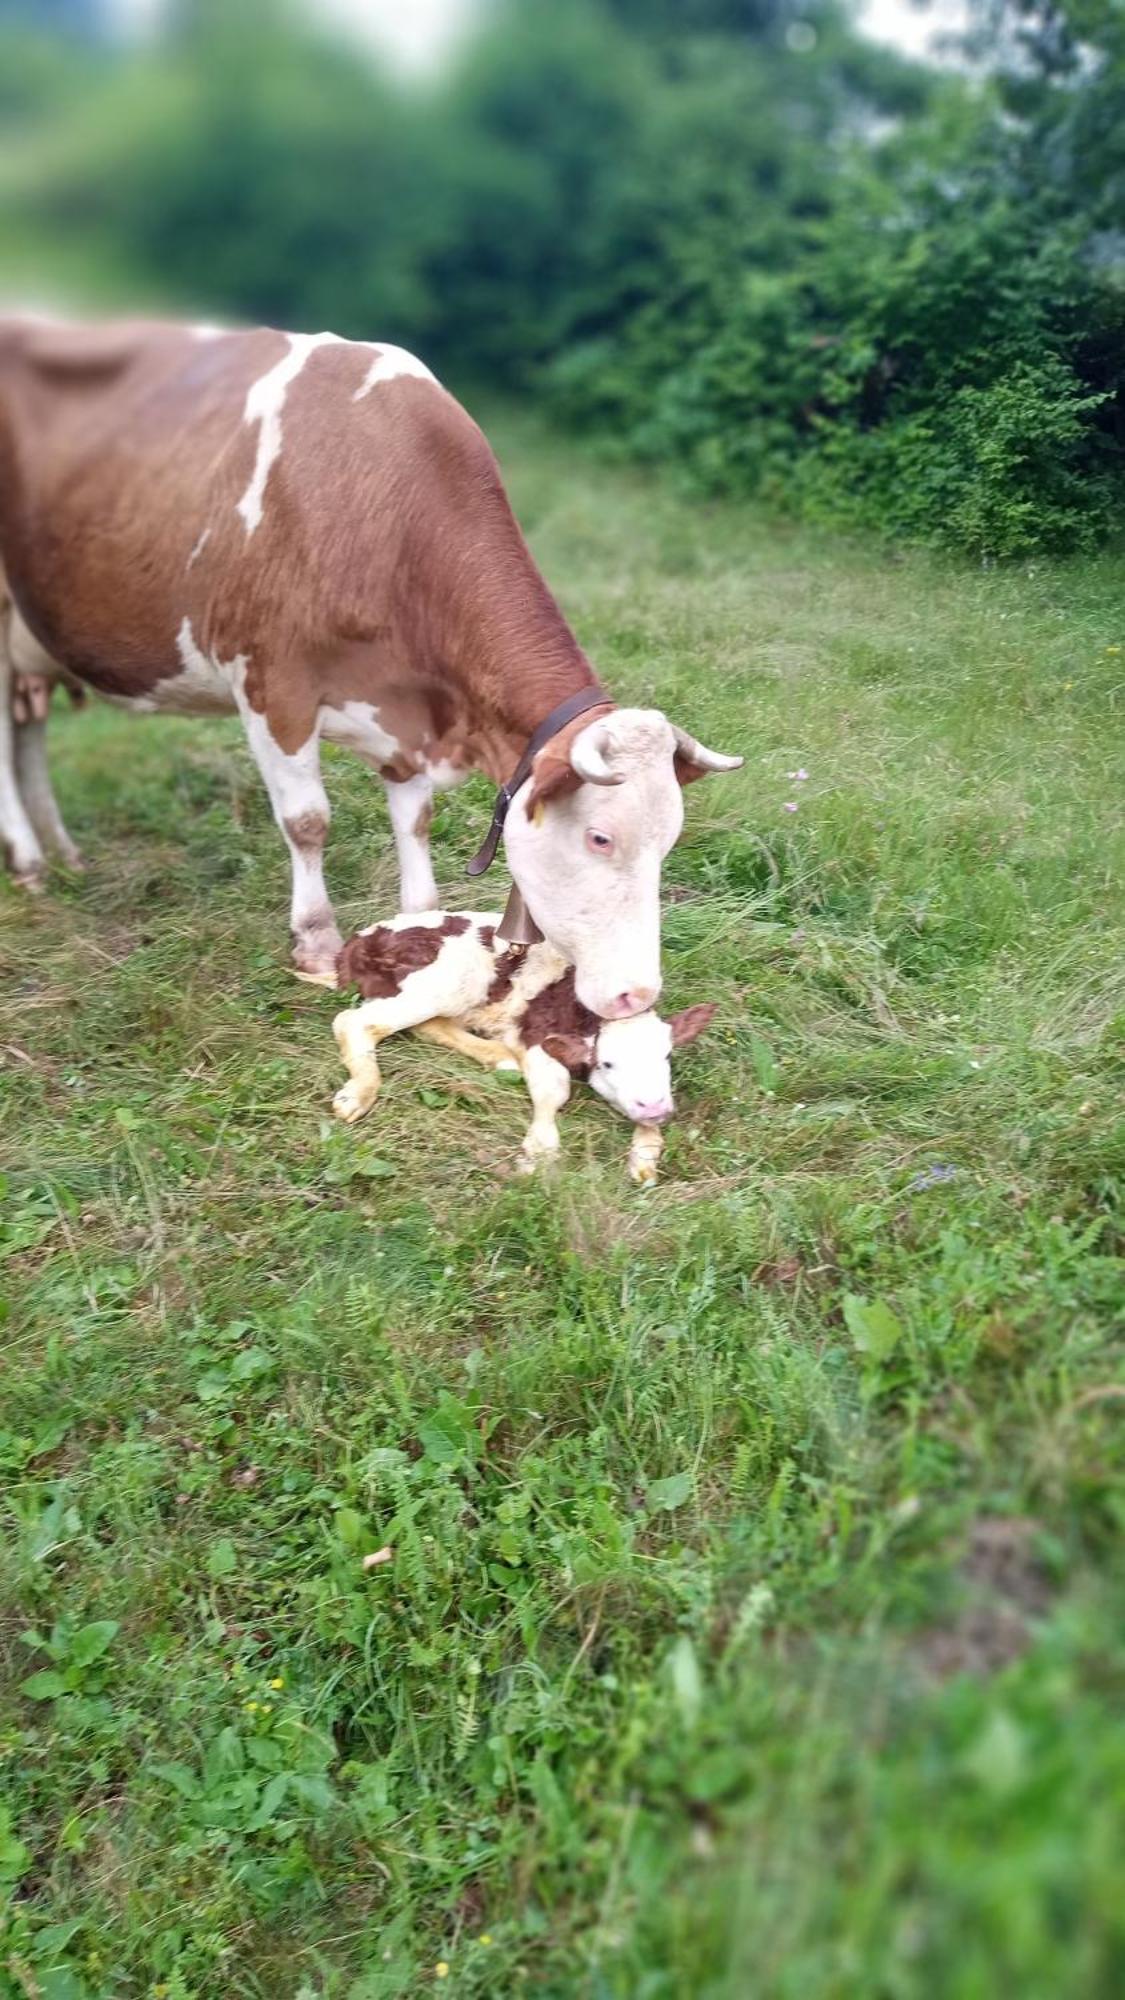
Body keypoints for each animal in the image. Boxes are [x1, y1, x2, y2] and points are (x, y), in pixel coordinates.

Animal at [0, 320, 736, 1024]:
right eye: (599, 836)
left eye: (669, 839)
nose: (638, 996)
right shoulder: (272, 684)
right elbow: (307, 821)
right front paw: (317, 943)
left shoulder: (403, 713)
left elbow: (416, 820)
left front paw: (418, 922)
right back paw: (31, 862)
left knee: (26, 731)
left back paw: (63, 852)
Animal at [324, 916, 712, 1176]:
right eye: (607, 1064)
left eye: (667, 1055)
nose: (653, 1106)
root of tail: (359, 941)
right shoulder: (538, 1035)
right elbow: (554, 1091)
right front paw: (539, 1152)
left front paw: (645, 1155)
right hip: (449, 983)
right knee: (355, 1021)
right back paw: (358, 1094)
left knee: (428, 1026)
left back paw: (500, 1057)